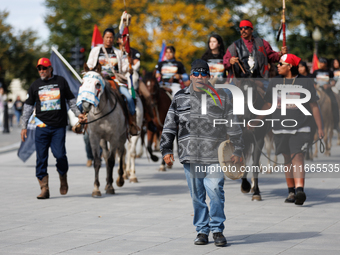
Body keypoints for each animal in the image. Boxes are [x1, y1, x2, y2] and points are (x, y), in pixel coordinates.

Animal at [77, 64, 127, 197]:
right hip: (103, 140)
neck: (103, 114)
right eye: (82, 82)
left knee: (121, 153)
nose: (85, 105)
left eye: (97, 84)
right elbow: (98, 161)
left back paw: (119, 179)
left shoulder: (114, 138)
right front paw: (96, 189)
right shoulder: (94, 137)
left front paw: (110, 187)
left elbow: (111, 160)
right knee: (105, 154)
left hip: (122, 137)